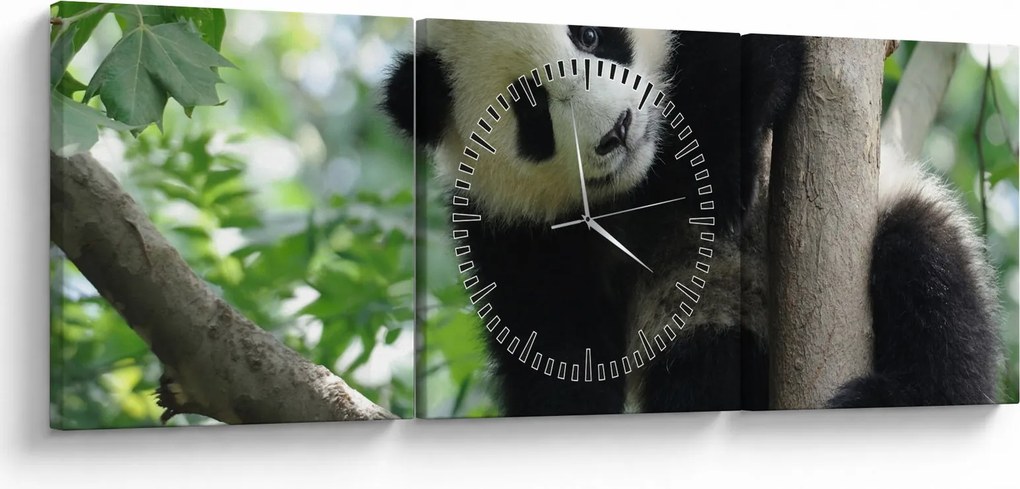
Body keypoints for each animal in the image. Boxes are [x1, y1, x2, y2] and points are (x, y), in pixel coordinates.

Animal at [382, 20, 1003, 415]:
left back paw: (903, 395)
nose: (618, 131)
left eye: (590, 35)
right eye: (533, 109)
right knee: (702, 369)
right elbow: (556, 348)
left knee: (927, 278)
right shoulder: (509, 234)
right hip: (703, 321)